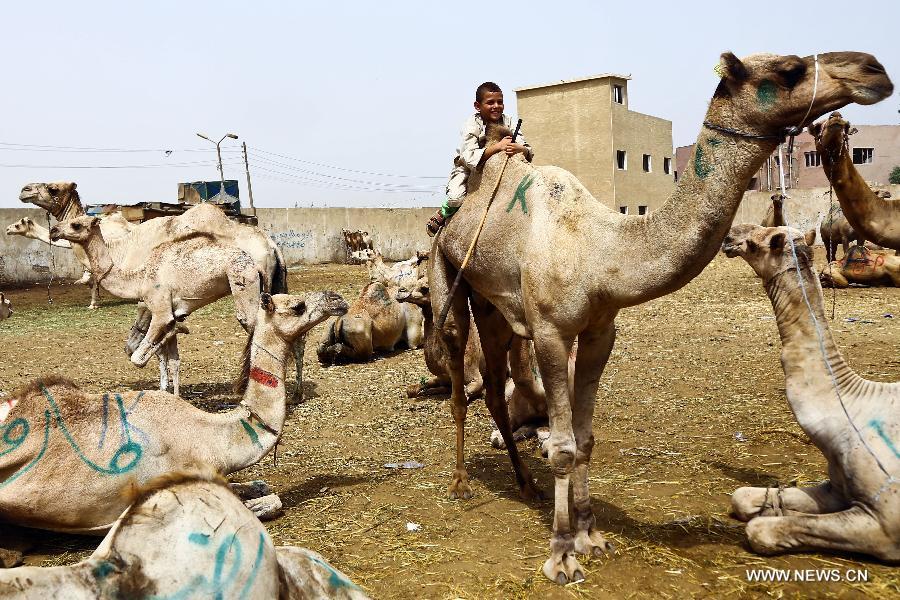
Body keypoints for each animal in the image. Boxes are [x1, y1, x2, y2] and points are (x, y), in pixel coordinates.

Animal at [49, 216, 262, 384]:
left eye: (76, 224)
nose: (53, 230)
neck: (139, 278)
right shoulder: (171, 311)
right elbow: (169, 357)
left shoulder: (161, 311)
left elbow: (138, 359)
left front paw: (178, 330)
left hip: (242, 280)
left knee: (251, 326)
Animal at [722, 224, 899, 561]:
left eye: (755, 242)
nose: (728, 237)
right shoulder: (836, 488)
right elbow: (742, 497)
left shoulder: (885, 524)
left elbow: (761, 531)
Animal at [812, 111, 900, 251]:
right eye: (817, 127)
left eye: (847, 126)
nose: (836, 116)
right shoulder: (844, 237)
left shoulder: (861, 237)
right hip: (826, 239)